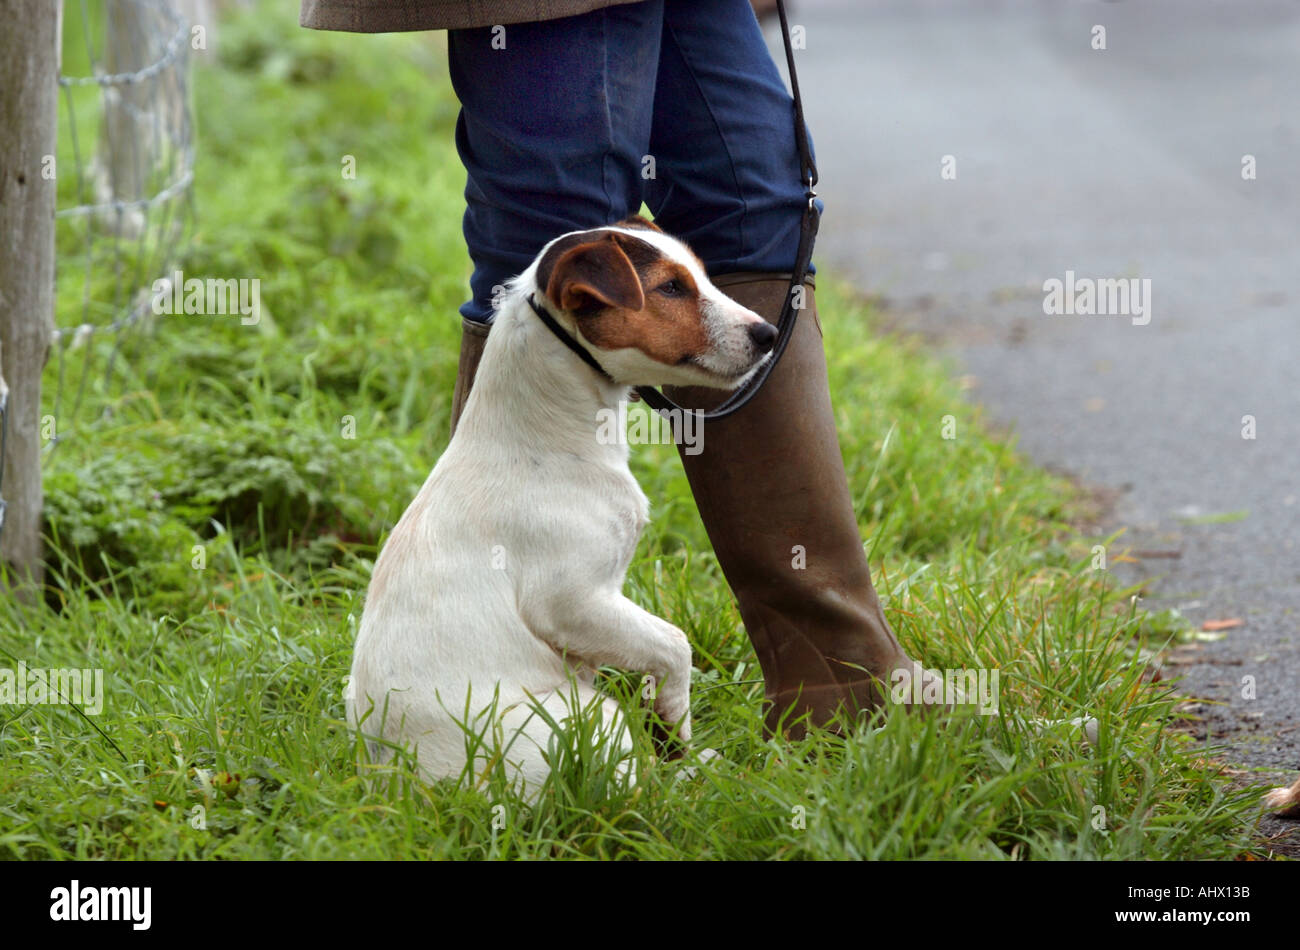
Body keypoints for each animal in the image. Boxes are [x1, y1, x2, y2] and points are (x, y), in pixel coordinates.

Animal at [345, 213, 774, 795]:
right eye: (670, 288)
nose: (769, 334)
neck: (546, 435)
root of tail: (398, 783)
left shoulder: (591, 624)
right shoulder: (572, 601)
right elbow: (674, 644)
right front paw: (674, 722)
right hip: (594, 715)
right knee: (634, 787)